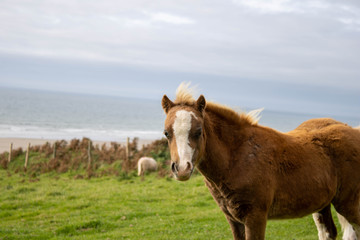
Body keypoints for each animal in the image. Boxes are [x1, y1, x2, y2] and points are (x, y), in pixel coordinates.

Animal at [161, 83, 360, 240]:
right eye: (166, 133)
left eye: (199, 131)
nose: (182, 169)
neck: (238, 158)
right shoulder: (233, 220)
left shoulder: (255, 216)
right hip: (322, 203)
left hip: (349, 204)